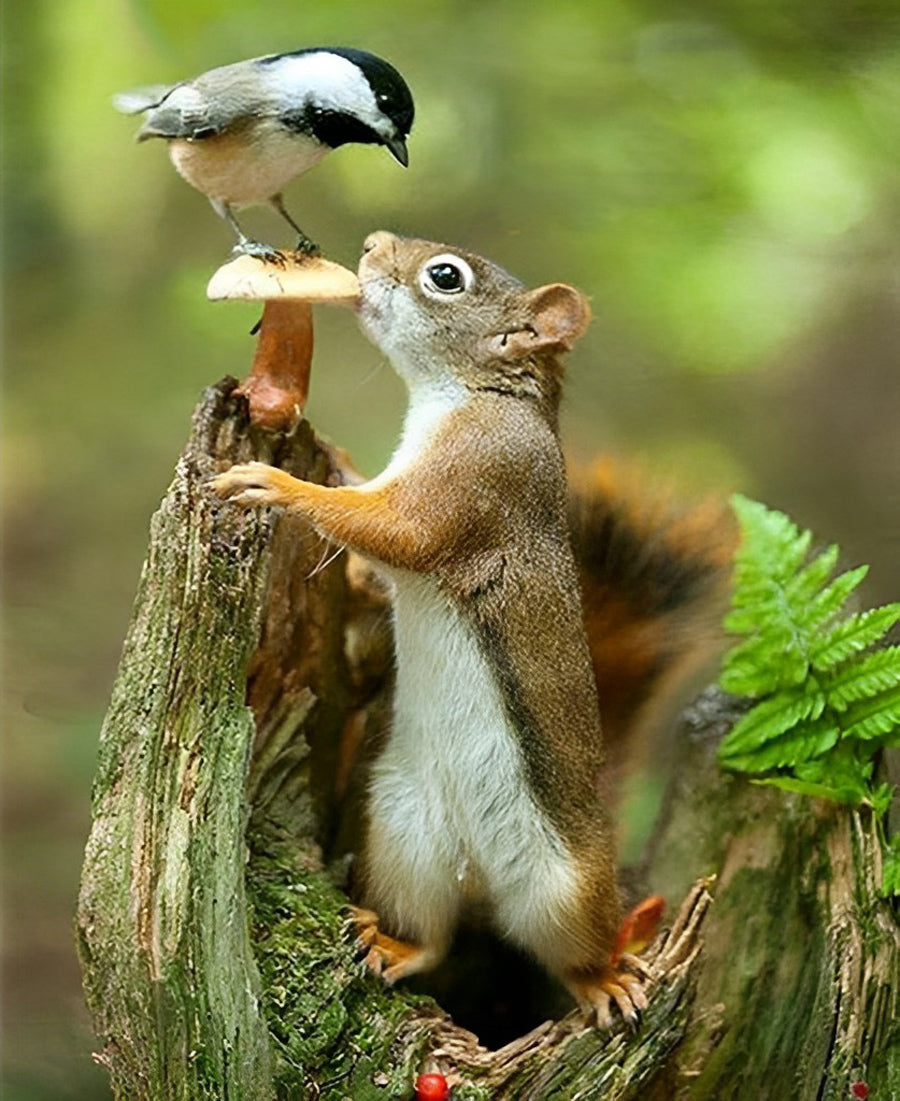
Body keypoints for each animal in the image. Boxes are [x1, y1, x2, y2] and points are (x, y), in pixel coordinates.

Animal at [213, 230, 735, 1026]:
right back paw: (393, 944)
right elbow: (372, 538)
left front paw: (277, 484)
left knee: (572, 953)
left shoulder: (475, 480)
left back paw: (606, 980)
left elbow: (396, 533)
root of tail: (481, 880)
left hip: (567, 887)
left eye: (445, 277)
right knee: (433, 938)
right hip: (403, 838)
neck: (472, 395)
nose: (371, 245)